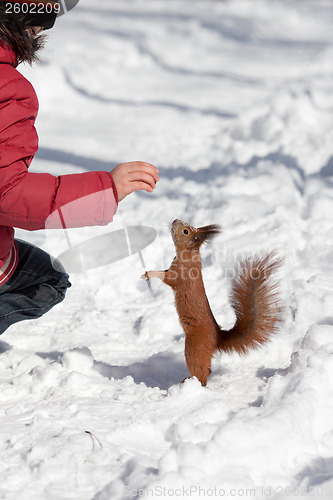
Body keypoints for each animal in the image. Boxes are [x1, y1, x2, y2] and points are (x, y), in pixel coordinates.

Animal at [141, 219, 282, 386]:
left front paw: (150, 273)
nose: (175, 220)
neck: (189, 253)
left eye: (186, 231)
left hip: (194, 348)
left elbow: (168, 278)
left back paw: (190, 383)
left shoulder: (180, 275)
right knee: (207, 370)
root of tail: (217, 337)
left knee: (201, 373)